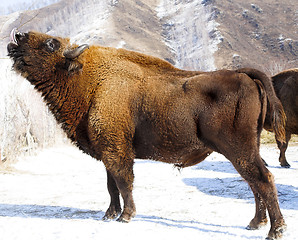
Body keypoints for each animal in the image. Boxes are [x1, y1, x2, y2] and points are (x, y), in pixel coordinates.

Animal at [7, 29, 286, 239]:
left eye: (50, 44)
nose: (17, 36)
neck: (89, 79)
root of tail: (243, 74)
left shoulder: (117, 151)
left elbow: (123, 182)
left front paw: (126, 216)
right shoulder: (108, 151)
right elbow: (111, 186)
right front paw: (109, 215)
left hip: (238, 149)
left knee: (263, 179)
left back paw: (275, 230)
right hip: (248, 149)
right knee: (255, 182)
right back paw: (255, 223)